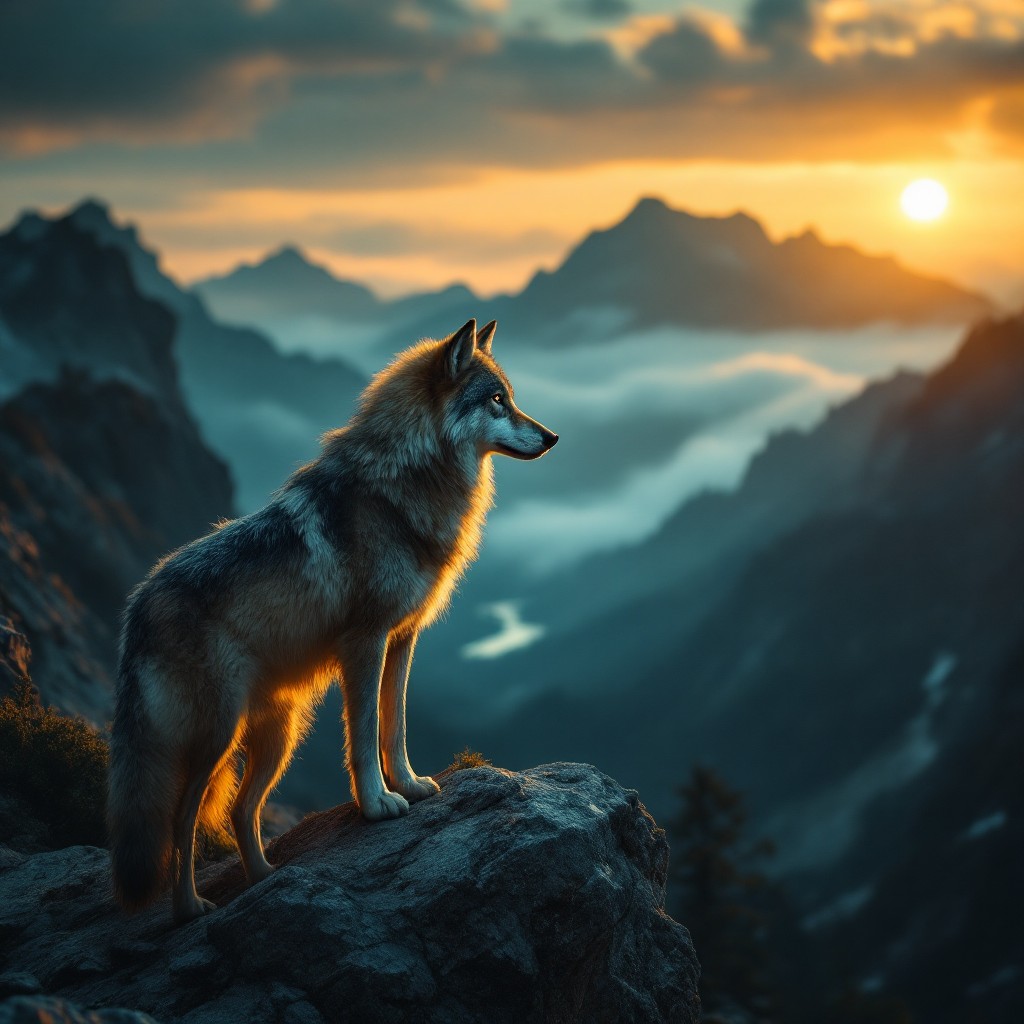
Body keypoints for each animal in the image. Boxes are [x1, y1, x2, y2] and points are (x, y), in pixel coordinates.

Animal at [107, 319, 557, 923]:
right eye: (497, 401)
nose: (552, 437)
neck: (405, 484)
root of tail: (136, 610)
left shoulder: (402, 639)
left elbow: (395, 725)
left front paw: (410, 785)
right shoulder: (364, 641)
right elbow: (364, 733)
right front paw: (377, 804)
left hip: (278, 737)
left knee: (240, 811)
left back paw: (265, 880)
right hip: (216, 738)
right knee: (182, 820)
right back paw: (189, 908)